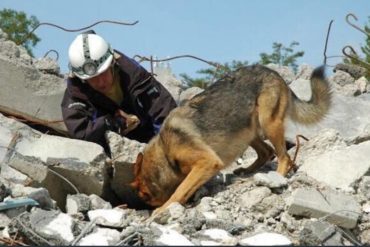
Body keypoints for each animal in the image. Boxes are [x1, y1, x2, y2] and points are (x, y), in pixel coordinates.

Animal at [131, 64, 332, 215]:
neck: (165, 151)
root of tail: (274, 73)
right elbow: (185, 187)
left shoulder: (207, 162)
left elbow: (180, 190)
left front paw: (164, 209)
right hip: (246, 130)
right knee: (267, 152)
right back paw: (247, 171)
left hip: (268, 123)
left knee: (284, 157)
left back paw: (278, 177)